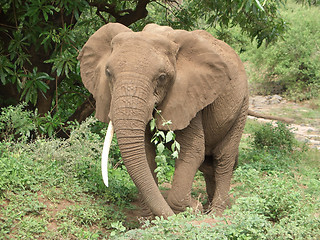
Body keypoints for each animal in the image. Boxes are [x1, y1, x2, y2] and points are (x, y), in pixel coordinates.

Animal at [79, 23, 249, 218]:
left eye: (161, 77)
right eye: (107, 73)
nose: (195, 205)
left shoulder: (189, 97)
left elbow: (192, 152)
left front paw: (190, 209)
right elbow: (145, 154)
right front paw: (151, 220)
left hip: (242, 106)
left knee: (223, 158)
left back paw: (217, 213)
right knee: (208, 164)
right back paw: (210, 207)